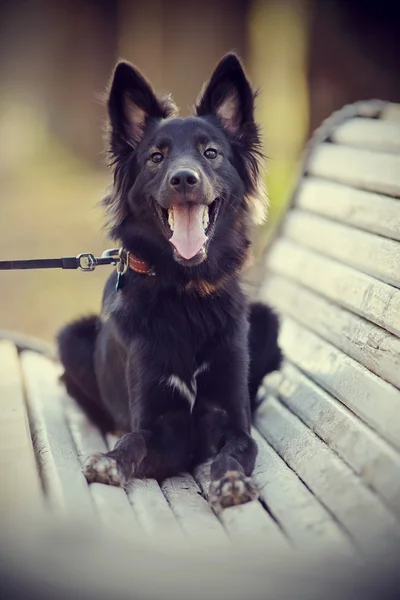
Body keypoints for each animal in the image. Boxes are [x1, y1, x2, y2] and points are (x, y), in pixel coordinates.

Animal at [57, 52, 282, 510]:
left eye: (211, 153)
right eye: (156, 158)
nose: (184, 179)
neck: (186, 291)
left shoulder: (232, 422)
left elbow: (234, 450)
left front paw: (230, 481)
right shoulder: (164, 427)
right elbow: (135, 440)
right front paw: (110, 461)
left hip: (266, 320)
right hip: (71, 338)